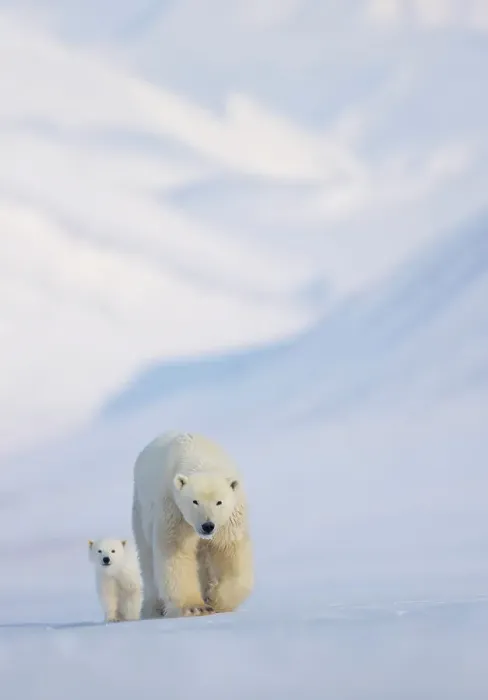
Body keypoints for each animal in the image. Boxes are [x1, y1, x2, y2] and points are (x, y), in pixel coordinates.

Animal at [131, 430, 254, 619]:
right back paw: (154, 610)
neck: (201, 458)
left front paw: (216, 600)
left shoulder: (230, 517)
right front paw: (197, 607)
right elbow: (177, 552)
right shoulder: (174, 509)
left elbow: (230, 551)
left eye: (219, 502)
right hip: (140, 511)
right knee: (147, 561)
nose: (207, 525)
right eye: (195, 501)